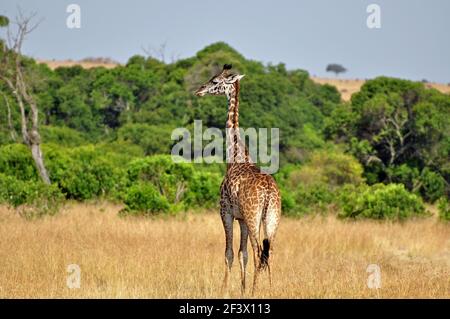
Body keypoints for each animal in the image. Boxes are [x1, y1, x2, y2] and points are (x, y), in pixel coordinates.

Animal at [194, 64, 280, 296]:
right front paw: (241, 288)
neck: (236, 155)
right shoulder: (241, 218)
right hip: (272, 218)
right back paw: (270, 289)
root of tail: (269, 193)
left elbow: (229, 253)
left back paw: (255, 291)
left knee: (259, 251)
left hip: (254, 217)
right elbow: (243, 254)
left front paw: (224, 289)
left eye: (215, 81)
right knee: (269, 252)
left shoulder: (226, 212)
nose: (199, 90)